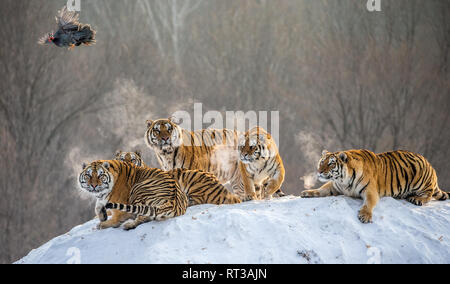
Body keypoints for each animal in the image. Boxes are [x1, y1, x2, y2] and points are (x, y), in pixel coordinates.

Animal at [300, 150, 448, 223]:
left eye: (331, 163)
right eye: (321, 161)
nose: (319, 171)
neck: (343, 180)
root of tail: (428, 163)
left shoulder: (370, 190)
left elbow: (368, 203)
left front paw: (365, 216)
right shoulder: (335, 186)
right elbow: (321, 190)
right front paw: (307, 192)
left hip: (422, 178)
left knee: (428, 194)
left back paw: (417, 199)